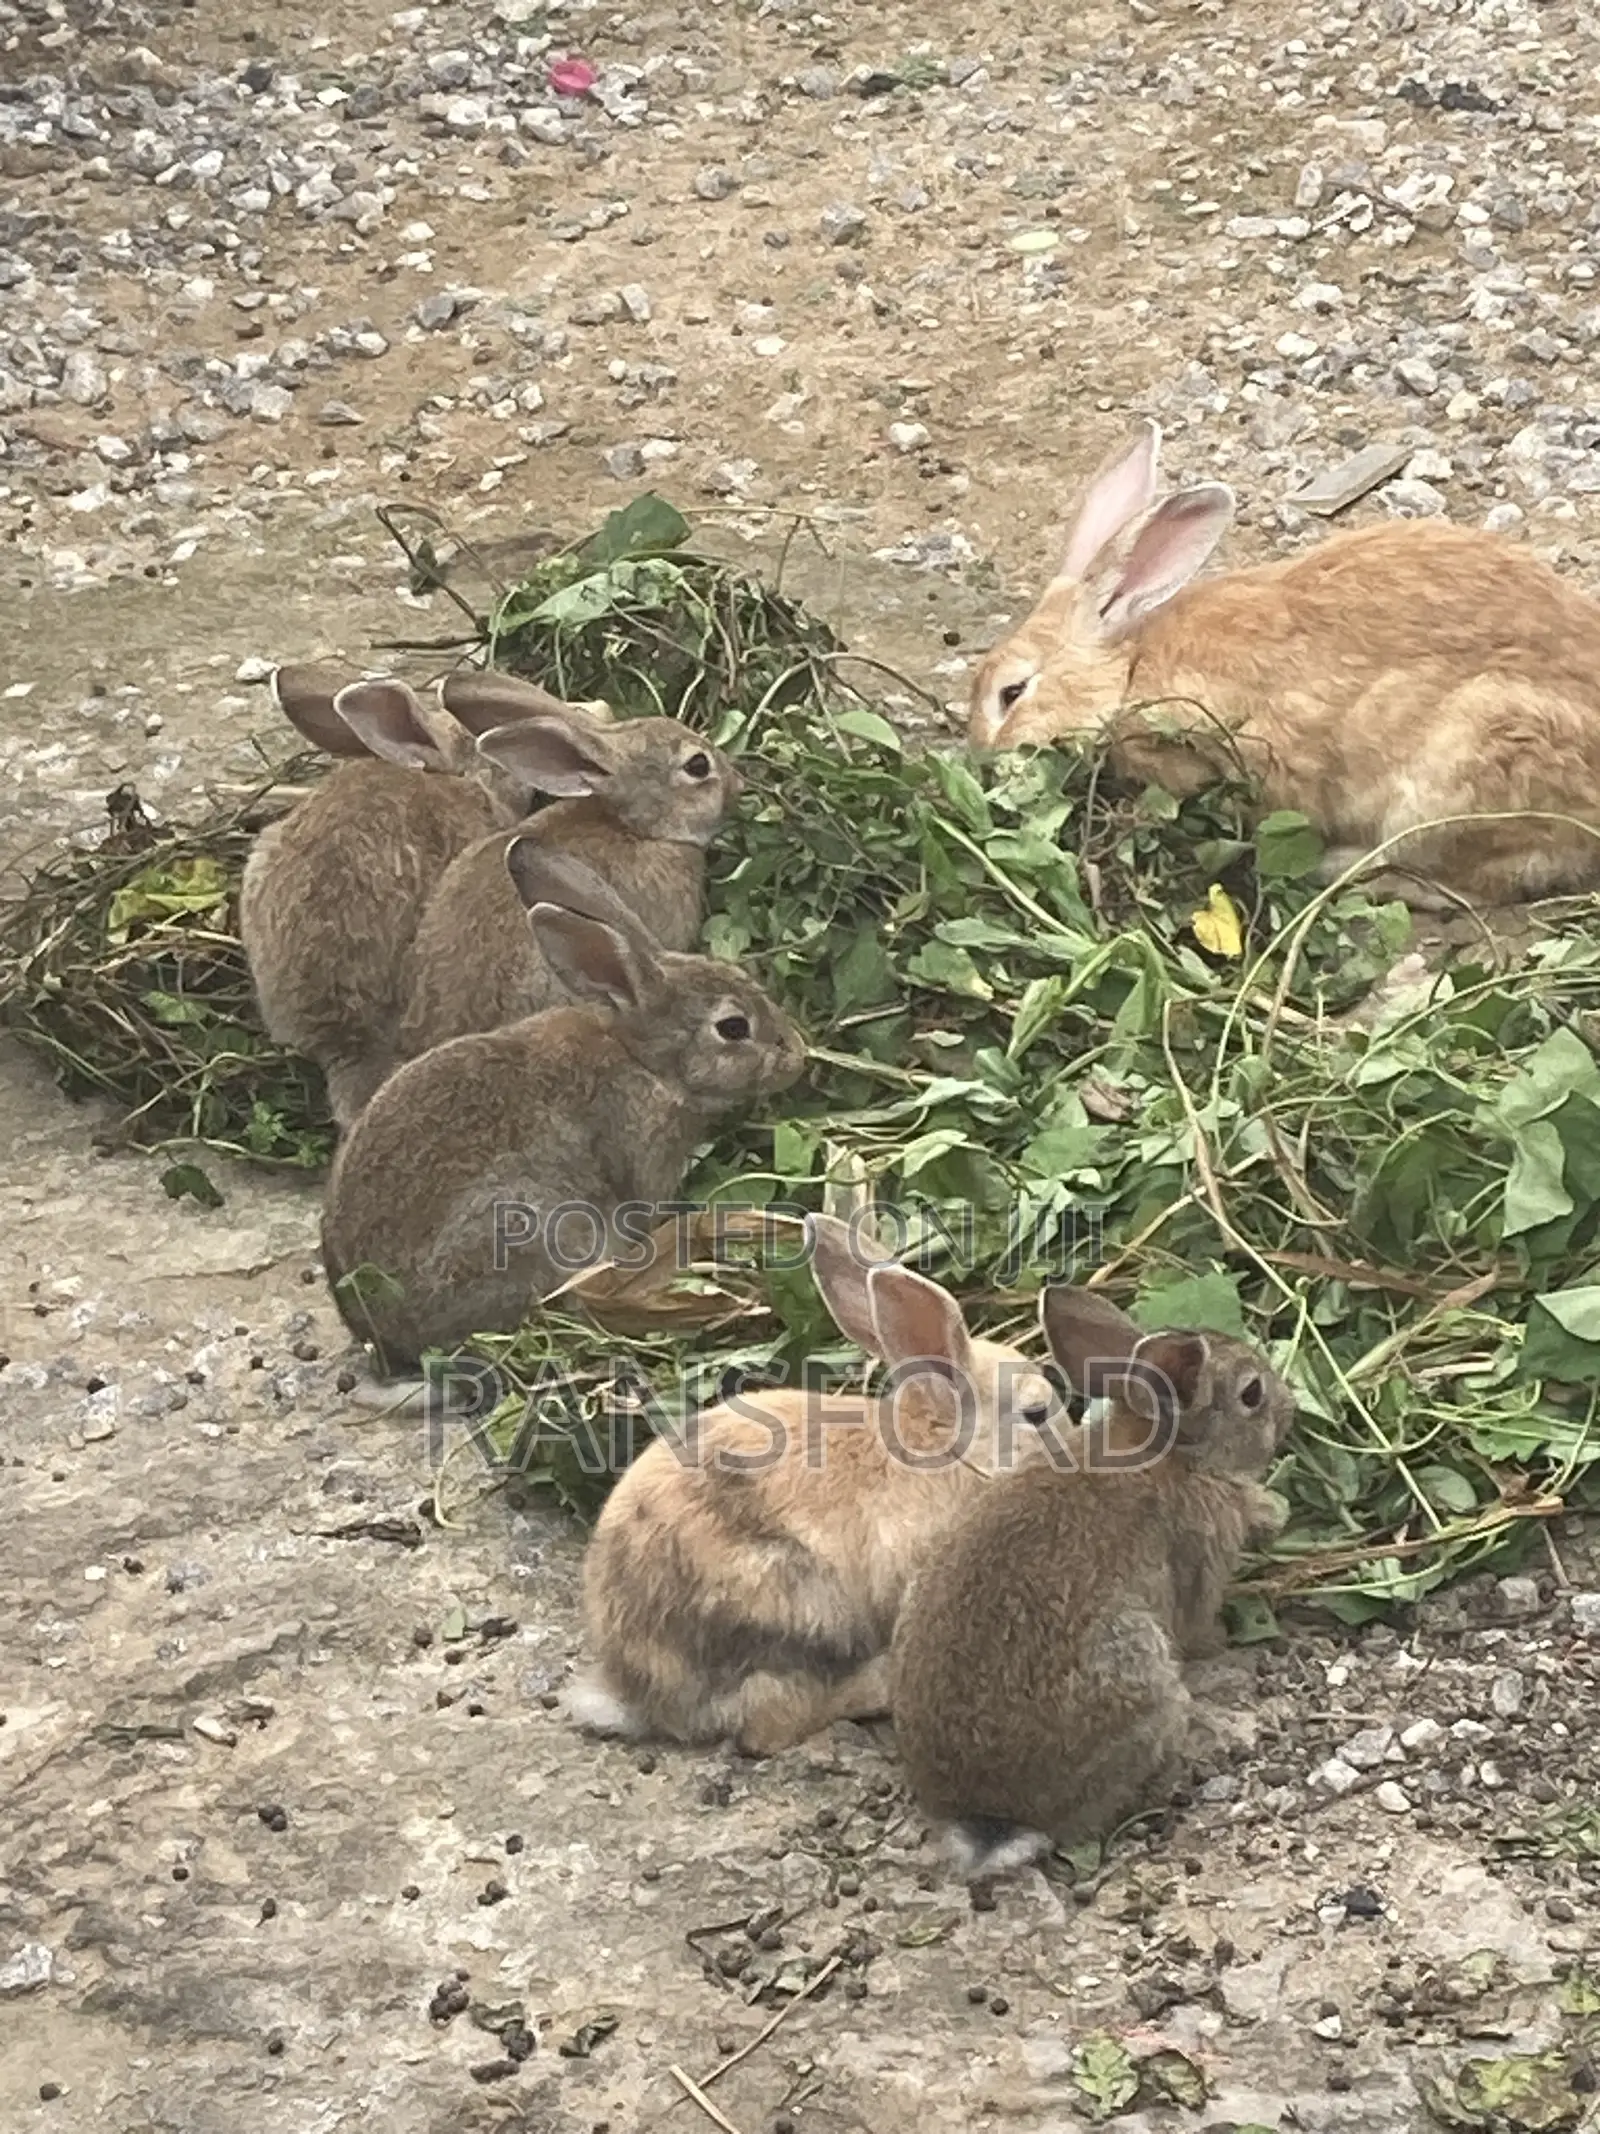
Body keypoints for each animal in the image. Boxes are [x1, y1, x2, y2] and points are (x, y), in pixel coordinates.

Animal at [890, 1284, 1294, 1882]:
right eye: (1251, 1394)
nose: (1290, 1409)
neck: (1170, 1451)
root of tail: (989, 1817)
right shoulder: (1198, 1568)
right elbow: (1201, 1624)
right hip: (1139, 1676)